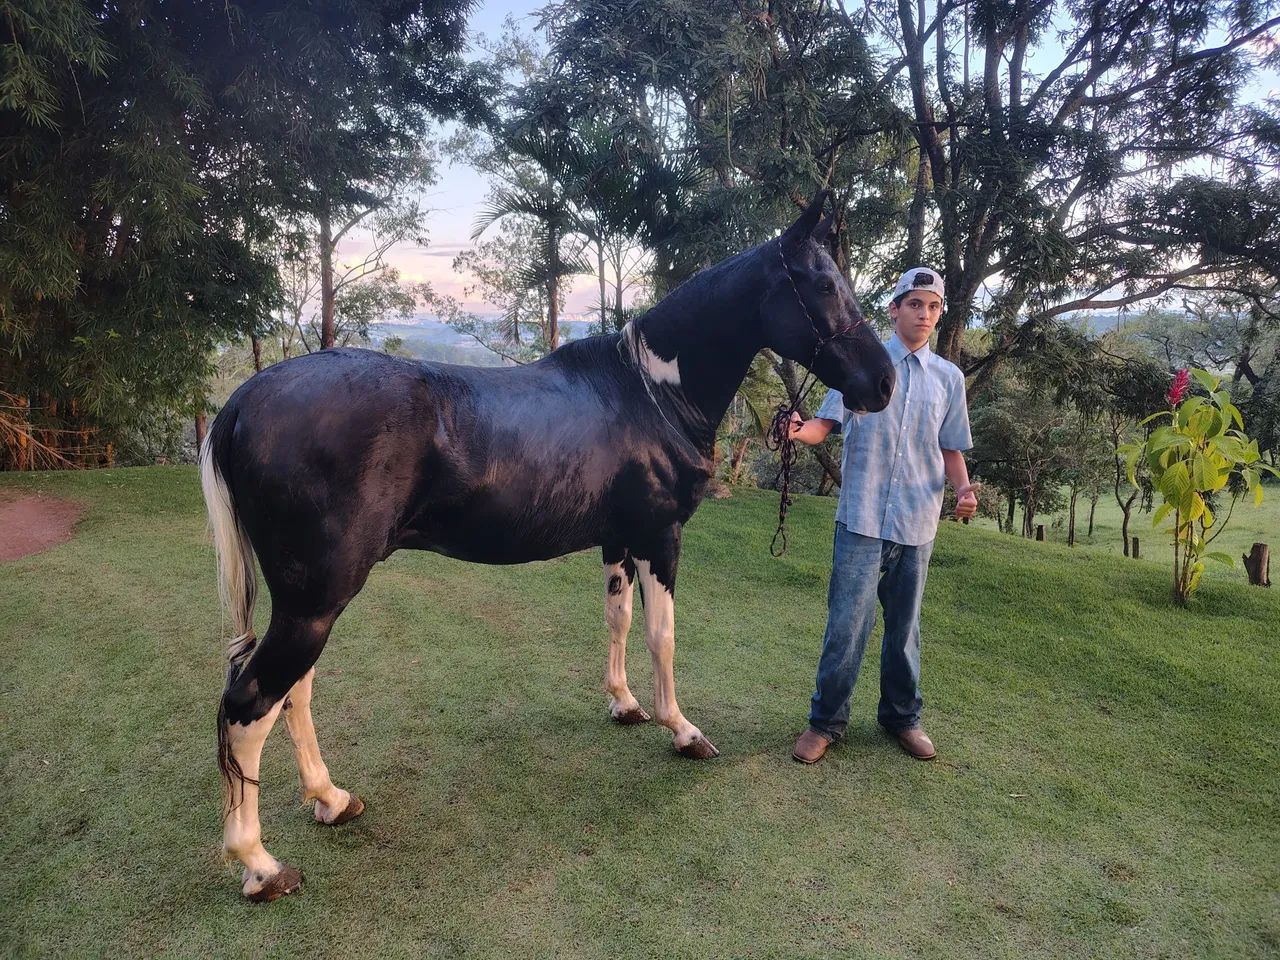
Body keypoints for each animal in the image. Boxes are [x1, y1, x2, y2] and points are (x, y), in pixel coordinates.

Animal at [200, 193, 896, 901]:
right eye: (822, 284)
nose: (884, 382)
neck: (651, 392)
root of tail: (239, 405)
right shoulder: (660, 537)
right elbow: (662, 635)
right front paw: (682, 730)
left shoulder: (618, 540)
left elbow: (619, 619)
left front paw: (624, 703)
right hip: (314, 603)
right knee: (250, 705)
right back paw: (260, 864)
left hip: (310, 604)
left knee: (293, 693)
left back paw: (331, 800)